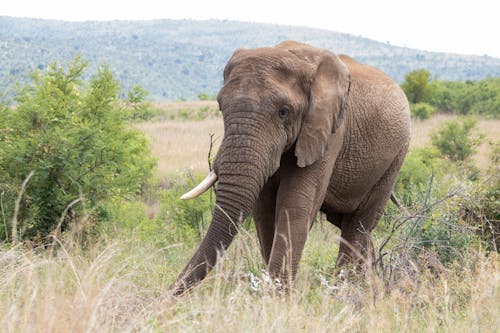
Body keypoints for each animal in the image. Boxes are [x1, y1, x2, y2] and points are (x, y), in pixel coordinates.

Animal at [171, 40, 410, 294]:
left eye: (283, 112)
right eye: (220, 107)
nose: (166, 296)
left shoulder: (328, 131)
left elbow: (294, 205)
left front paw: (278, 296)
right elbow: (264, 210)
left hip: (395, 158)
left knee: (359, 224)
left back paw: (346, 288)